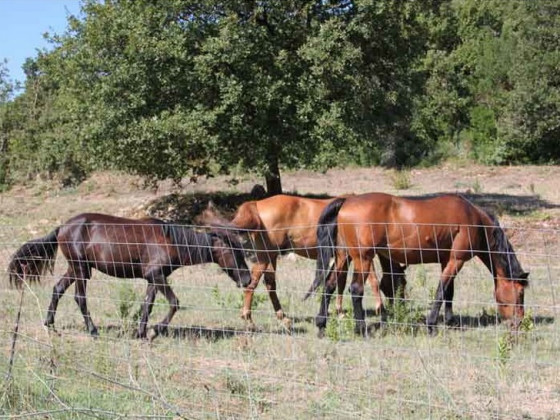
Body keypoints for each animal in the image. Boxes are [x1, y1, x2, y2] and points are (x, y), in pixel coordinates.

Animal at [7, 213, 249, 338]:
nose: (247, 280)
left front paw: (142, 332)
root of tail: (61, 227)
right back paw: (92, 330)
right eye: (234, 252)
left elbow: (147, 305)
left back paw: (50, 324)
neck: (170, 240)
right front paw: (157, 329)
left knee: (57, 289)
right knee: (80, 298)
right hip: (81, 270)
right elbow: (174, 303)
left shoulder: (153, 278)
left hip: (76, 269)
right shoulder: (157, 276)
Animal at [202, 194, 406, 328]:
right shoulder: (359, 255)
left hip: (269, 256)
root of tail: (256, 205)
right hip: (266, 257)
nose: (401, 305)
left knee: (269, 284)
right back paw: (249, 319)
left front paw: (339, 312)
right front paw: (380, 309)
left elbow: (339, 282)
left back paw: (282, 317)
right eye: (401, 283)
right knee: (253, 283)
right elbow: (371, 281)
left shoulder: (344, 257)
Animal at [306, 195, 528, 336]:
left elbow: (449, 292)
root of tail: (346, 202)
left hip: (344, 257)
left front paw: (451, 322)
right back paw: (361, 329)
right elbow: (441, 291)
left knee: (329, 285)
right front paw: (432, 325)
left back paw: (321, 325)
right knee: (355, 289)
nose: (519, 322)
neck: (474, 220)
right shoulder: (457, 260)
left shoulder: (447, 260)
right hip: (363, 258)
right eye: (520, 293)